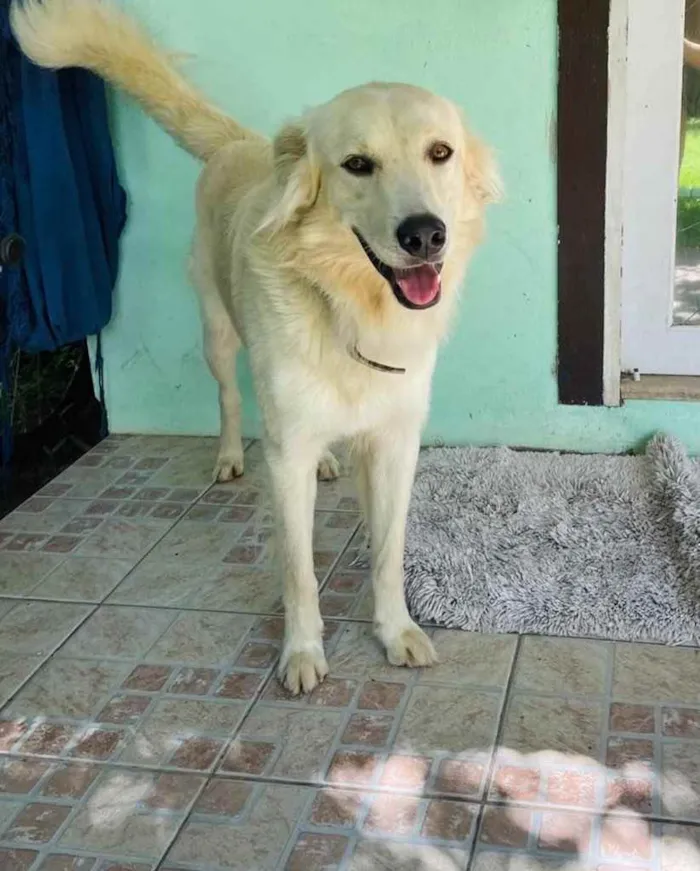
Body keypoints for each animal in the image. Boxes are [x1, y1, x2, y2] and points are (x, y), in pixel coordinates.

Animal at [12, 0, 504, 696]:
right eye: (358, 164)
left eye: (441, 153)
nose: (425, 235)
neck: (348, 307)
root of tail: (242, 144)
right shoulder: (287, 454)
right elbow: (299, 571)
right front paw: (301, 652)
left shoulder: (394, 442)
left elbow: (388, 553)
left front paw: (396, 630)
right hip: (217, 337)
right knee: (228, 398)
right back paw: (227, 457)